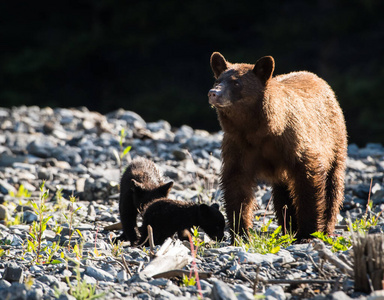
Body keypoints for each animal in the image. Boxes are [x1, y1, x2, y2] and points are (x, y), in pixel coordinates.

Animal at [208, 52, 346, 244]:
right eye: (218, 80)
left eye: (236, 82)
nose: (214, 93)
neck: (259, 130)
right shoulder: (239, 146)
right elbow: (236, 184)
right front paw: (241, 232)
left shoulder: (293, 141)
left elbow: (308, 180)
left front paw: (308, 233)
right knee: (282, 194)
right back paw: (289, 228)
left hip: (335, 141)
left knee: (333, 186)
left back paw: (326, 228)